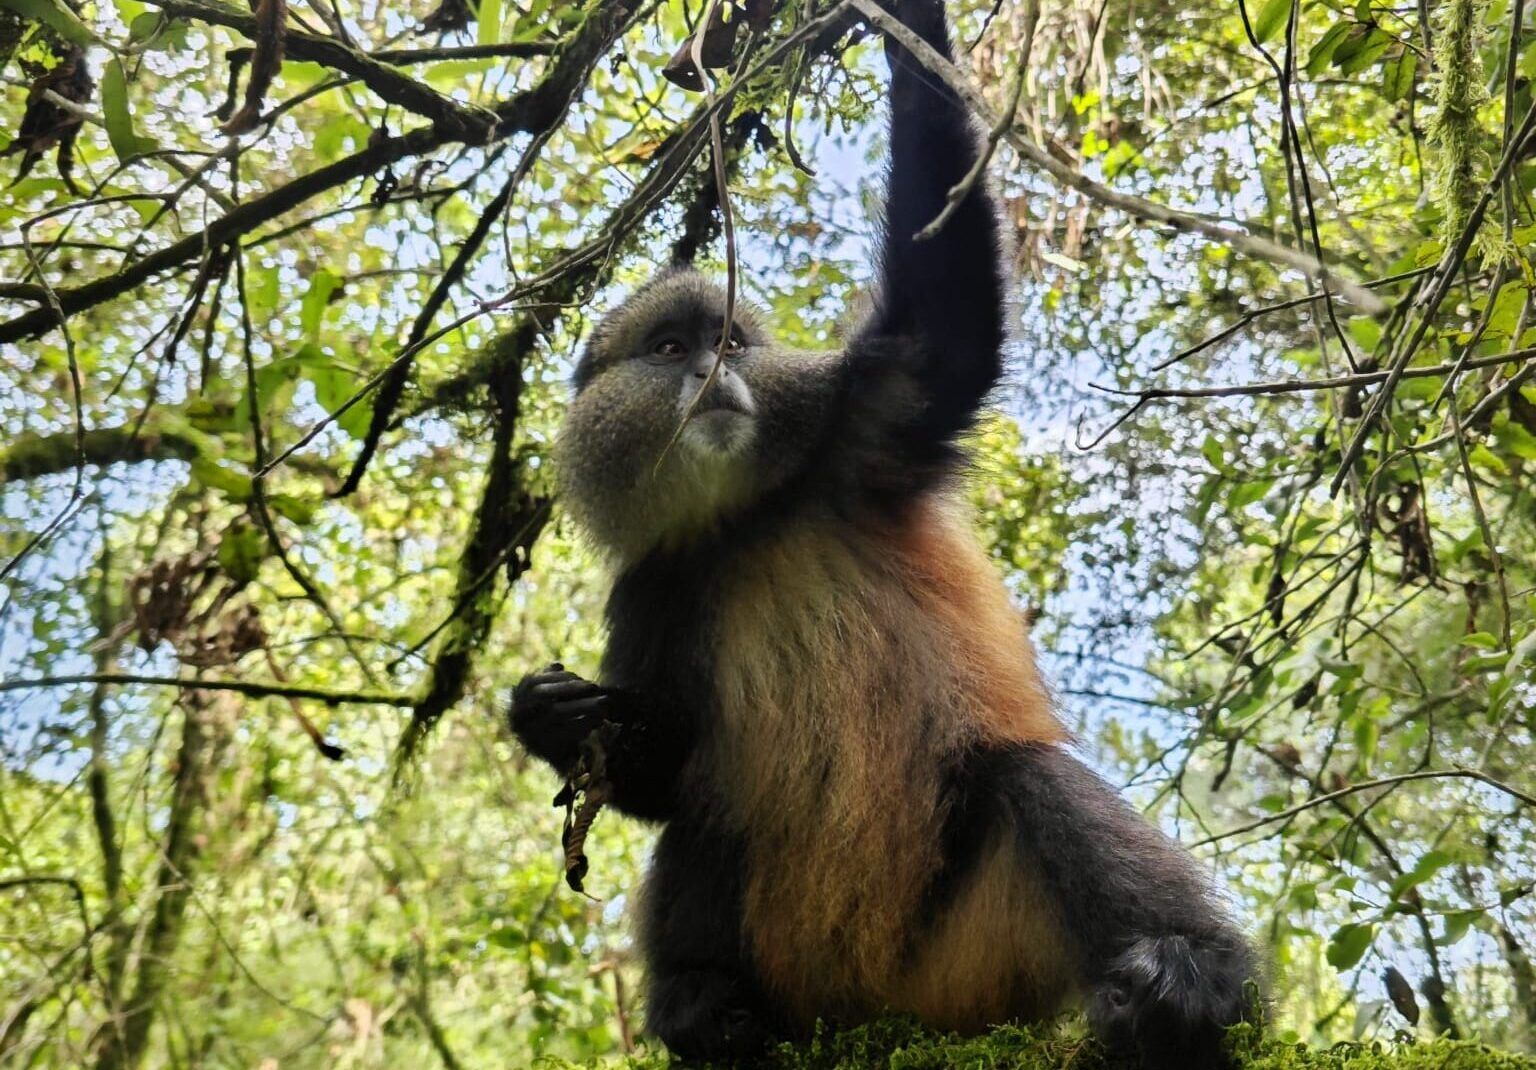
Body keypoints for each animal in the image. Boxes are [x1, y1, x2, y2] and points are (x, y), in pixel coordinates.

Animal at [509, 0, 1262, 1065]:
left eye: (728, 343)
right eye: (669, 348)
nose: (712, 376)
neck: (745, 519)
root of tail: (870, 1010)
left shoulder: (857, 425)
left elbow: (943, 329)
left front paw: (903, 19)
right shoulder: (655, 585)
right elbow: (664, 771)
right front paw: (548, 719)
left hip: (972, 950)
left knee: (1025, 781)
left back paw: (1190, 983)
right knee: (707, 823)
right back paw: (708, 1013)